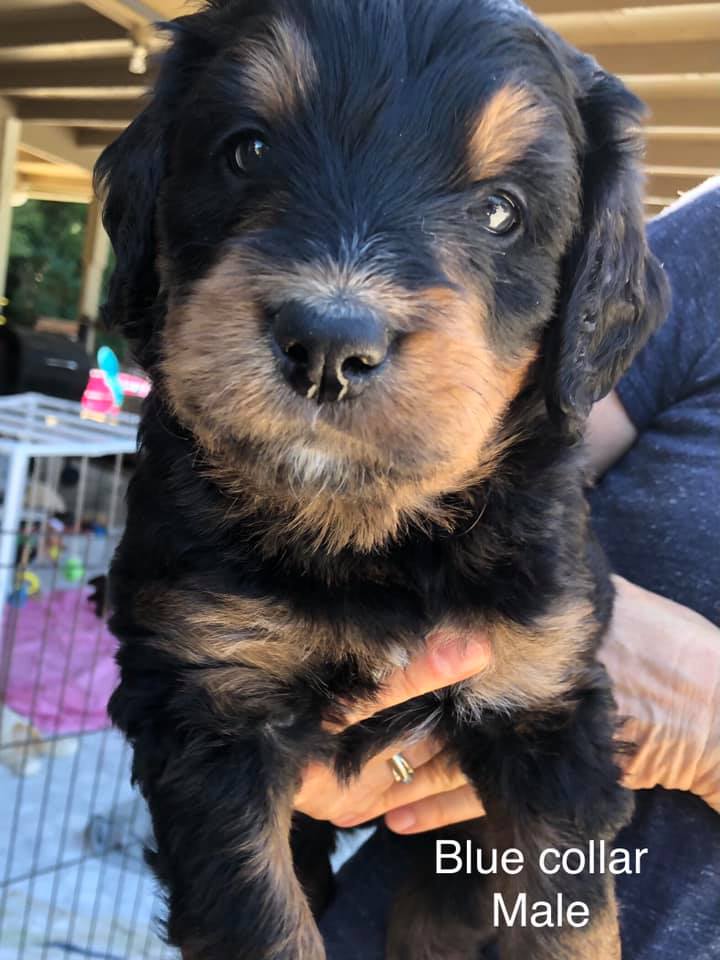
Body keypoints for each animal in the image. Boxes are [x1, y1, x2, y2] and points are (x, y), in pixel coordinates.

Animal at [98, 1, 669, 957]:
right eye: (248, 150)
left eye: (500, 211)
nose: (328, 345)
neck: (368, 534)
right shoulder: (209, 700)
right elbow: (263, 921)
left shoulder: (545, 696)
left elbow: (571, 921)